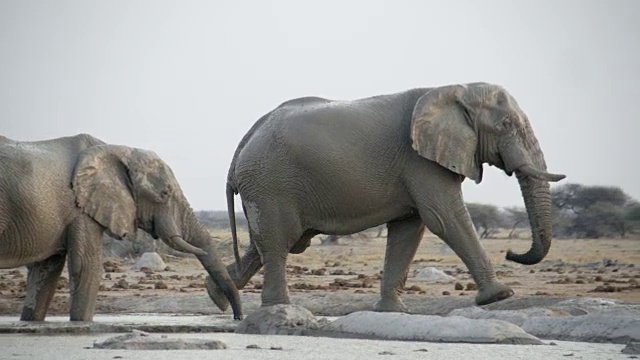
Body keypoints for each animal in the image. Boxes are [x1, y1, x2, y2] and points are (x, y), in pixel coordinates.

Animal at [0, 134, 242, 320]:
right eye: (165, 194)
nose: (236, 317)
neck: (118, 150)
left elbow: (45, 273)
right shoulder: (81, 209)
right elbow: (85, 267)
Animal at [205, 83, 564, 314]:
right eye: (506, 124)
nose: (510, 252)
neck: (456, 89)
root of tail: (245, 141)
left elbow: (409, 228)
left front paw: (393, 311)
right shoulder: (420, 161)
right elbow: (443, 217)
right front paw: (499, 296)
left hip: (267, 185)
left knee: (270, 243)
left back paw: (218, 297)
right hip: (270, 182)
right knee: (278, 242)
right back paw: (278, 309)